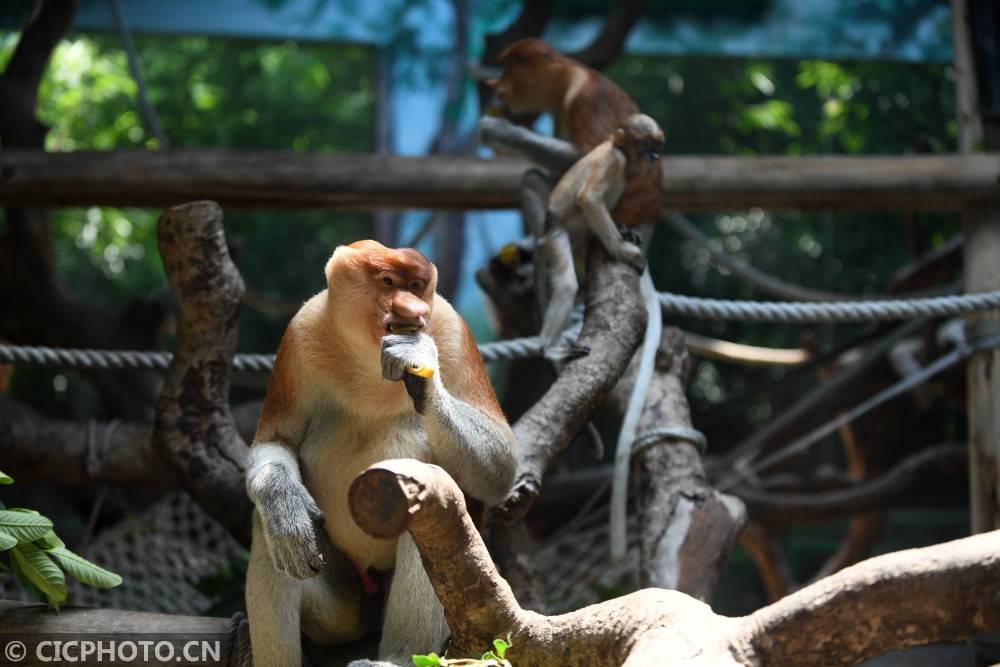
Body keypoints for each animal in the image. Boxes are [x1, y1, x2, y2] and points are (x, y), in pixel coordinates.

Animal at [246, 241, 520, 667]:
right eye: (389, 282)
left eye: (416, 285)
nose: (414, 311)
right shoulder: (300, 334)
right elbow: (276, 441)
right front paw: (284, 507)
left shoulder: (453, 332)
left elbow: (502, 465)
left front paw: (416, 356)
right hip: (341, 613)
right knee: (266, 526)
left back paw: (398, 657)